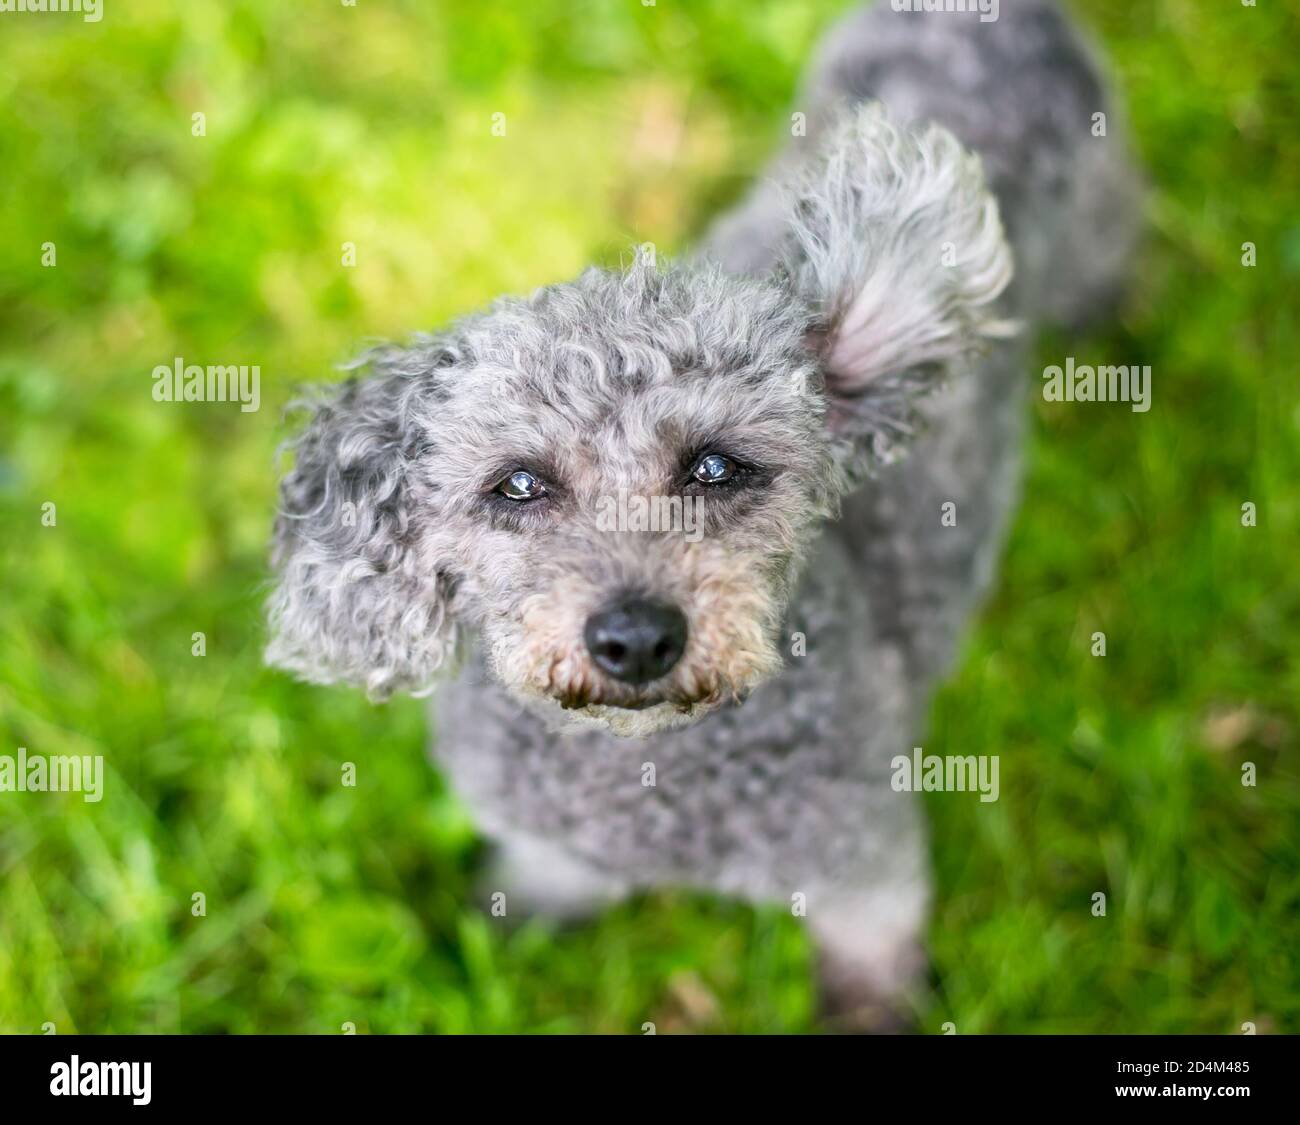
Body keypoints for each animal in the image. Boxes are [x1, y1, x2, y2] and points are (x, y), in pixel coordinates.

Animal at [263, 0, 1138, 1030]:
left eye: (716, 467)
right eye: (517, 485)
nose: (637, 636)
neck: (644, 781)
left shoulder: (862, 861)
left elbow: (871, 952)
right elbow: (548, 871)